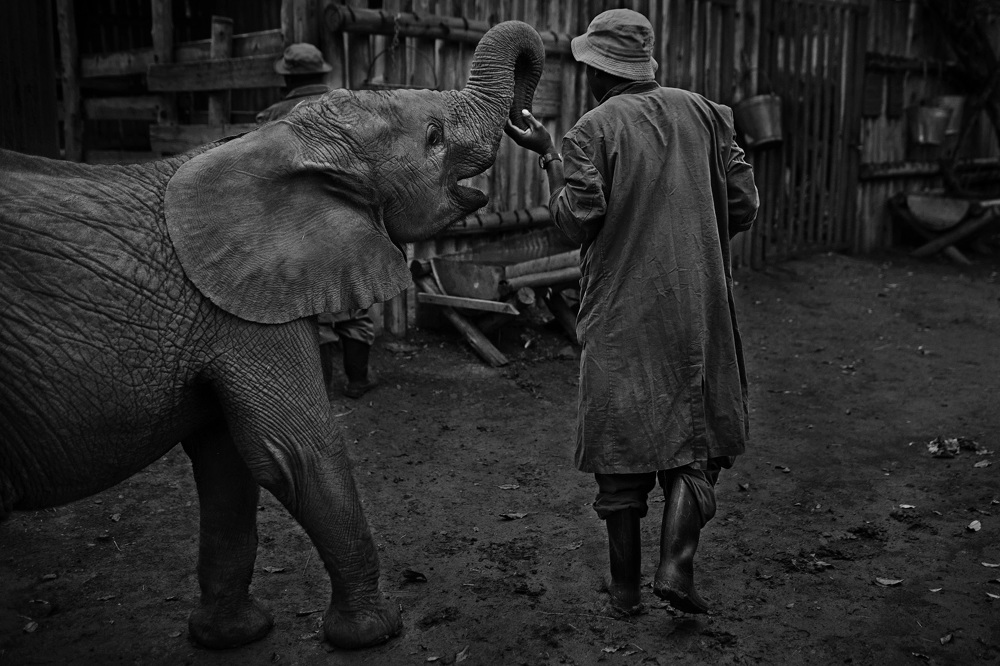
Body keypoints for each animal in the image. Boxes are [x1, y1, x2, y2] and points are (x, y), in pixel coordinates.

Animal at [0, 21, 543, 650]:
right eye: (433, 137)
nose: (530, 125)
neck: (276, 144)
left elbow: (229, 464)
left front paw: (233, 636)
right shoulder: (240, 309)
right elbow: (297, 449)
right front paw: (375, 632)